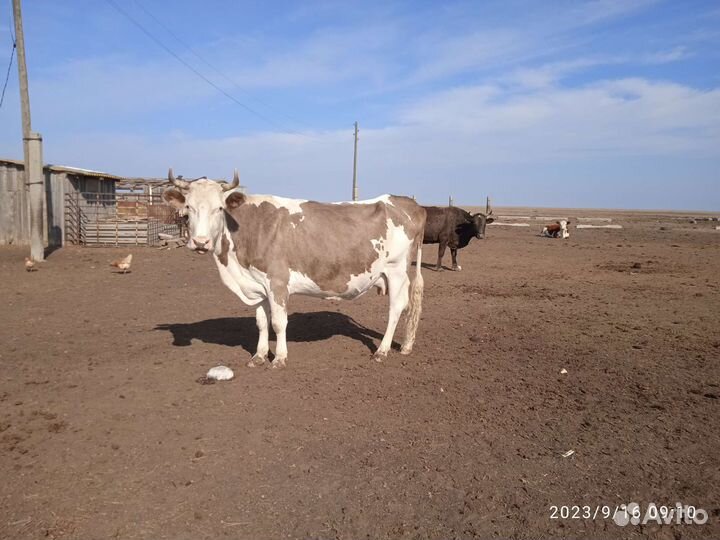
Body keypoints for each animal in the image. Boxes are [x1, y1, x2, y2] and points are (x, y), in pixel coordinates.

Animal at [162, 170, 426, 367]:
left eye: (219, 208)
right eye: (188, 208)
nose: (200, 242)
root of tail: (409, 202)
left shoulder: (277, 282)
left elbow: (279, 322)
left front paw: (279, 358)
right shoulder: (257, 285)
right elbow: (261, 322)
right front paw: (258, 356)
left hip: (396, 270)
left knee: (396, 308)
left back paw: (382, 351)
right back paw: (405, 346)